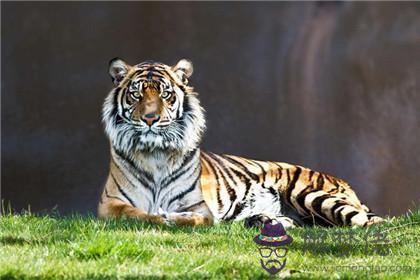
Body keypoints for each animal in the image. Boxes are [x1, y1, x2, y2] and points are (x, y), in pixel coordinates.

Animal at [99, 58, 384, 228]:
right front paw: (161, 217)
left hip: (313, 194)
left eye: (165, 94)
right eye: (136, 94)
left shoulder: (200, 207)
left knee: (370, 222)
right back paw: (266, 221)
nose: (150, 118)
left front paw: (174, 217)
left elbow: (193, 219)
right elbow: (138, 215)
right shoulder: (110, 205)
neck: (155, 154)